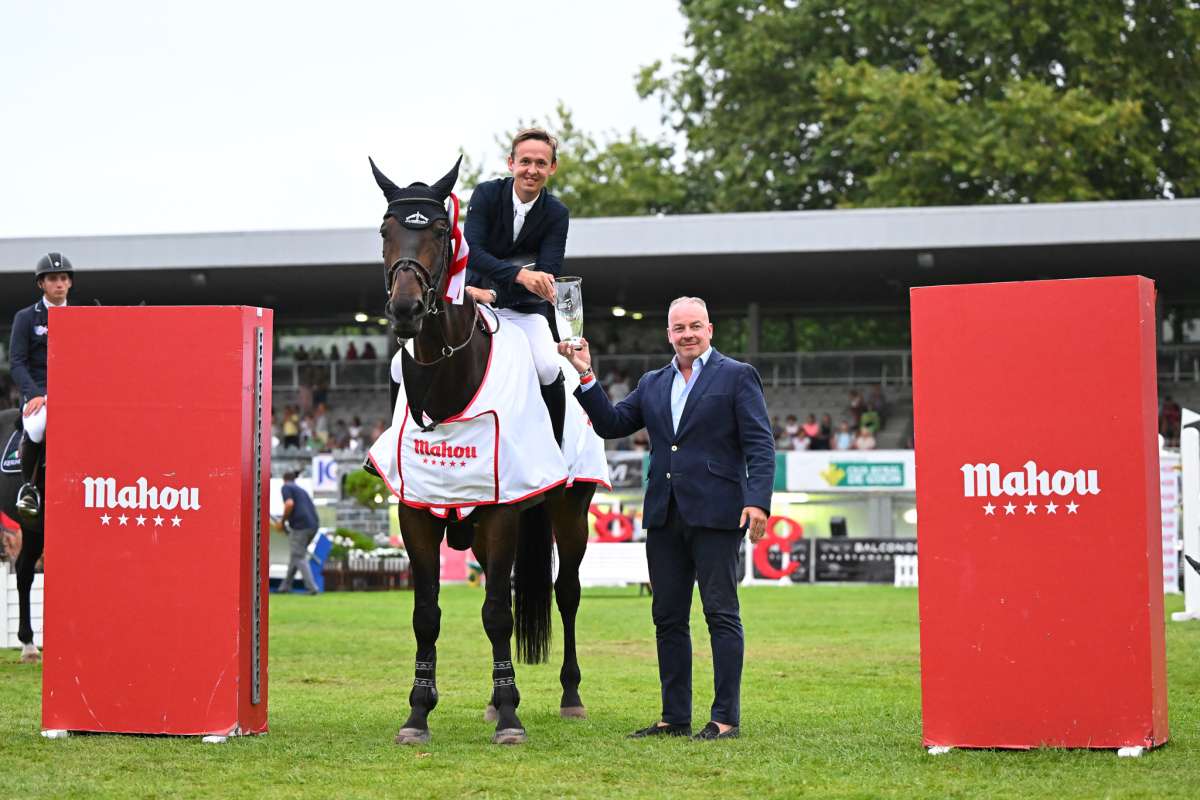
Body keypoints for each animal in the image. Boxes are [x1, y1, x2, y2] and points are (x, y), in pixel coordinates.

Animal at [364, 159, 600, 748]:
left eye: (440, 231)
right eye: (385, 230)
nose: (405, 309)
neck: (447, 379)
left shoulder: (501, 512)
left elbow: (497, 612)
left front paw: (512, 716)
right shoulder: (417, 512)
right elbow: (426, 614)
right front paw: (418, 713)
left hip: (570, 511)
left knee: (567, 592)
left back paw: (569, 696)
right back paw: (494, 702)